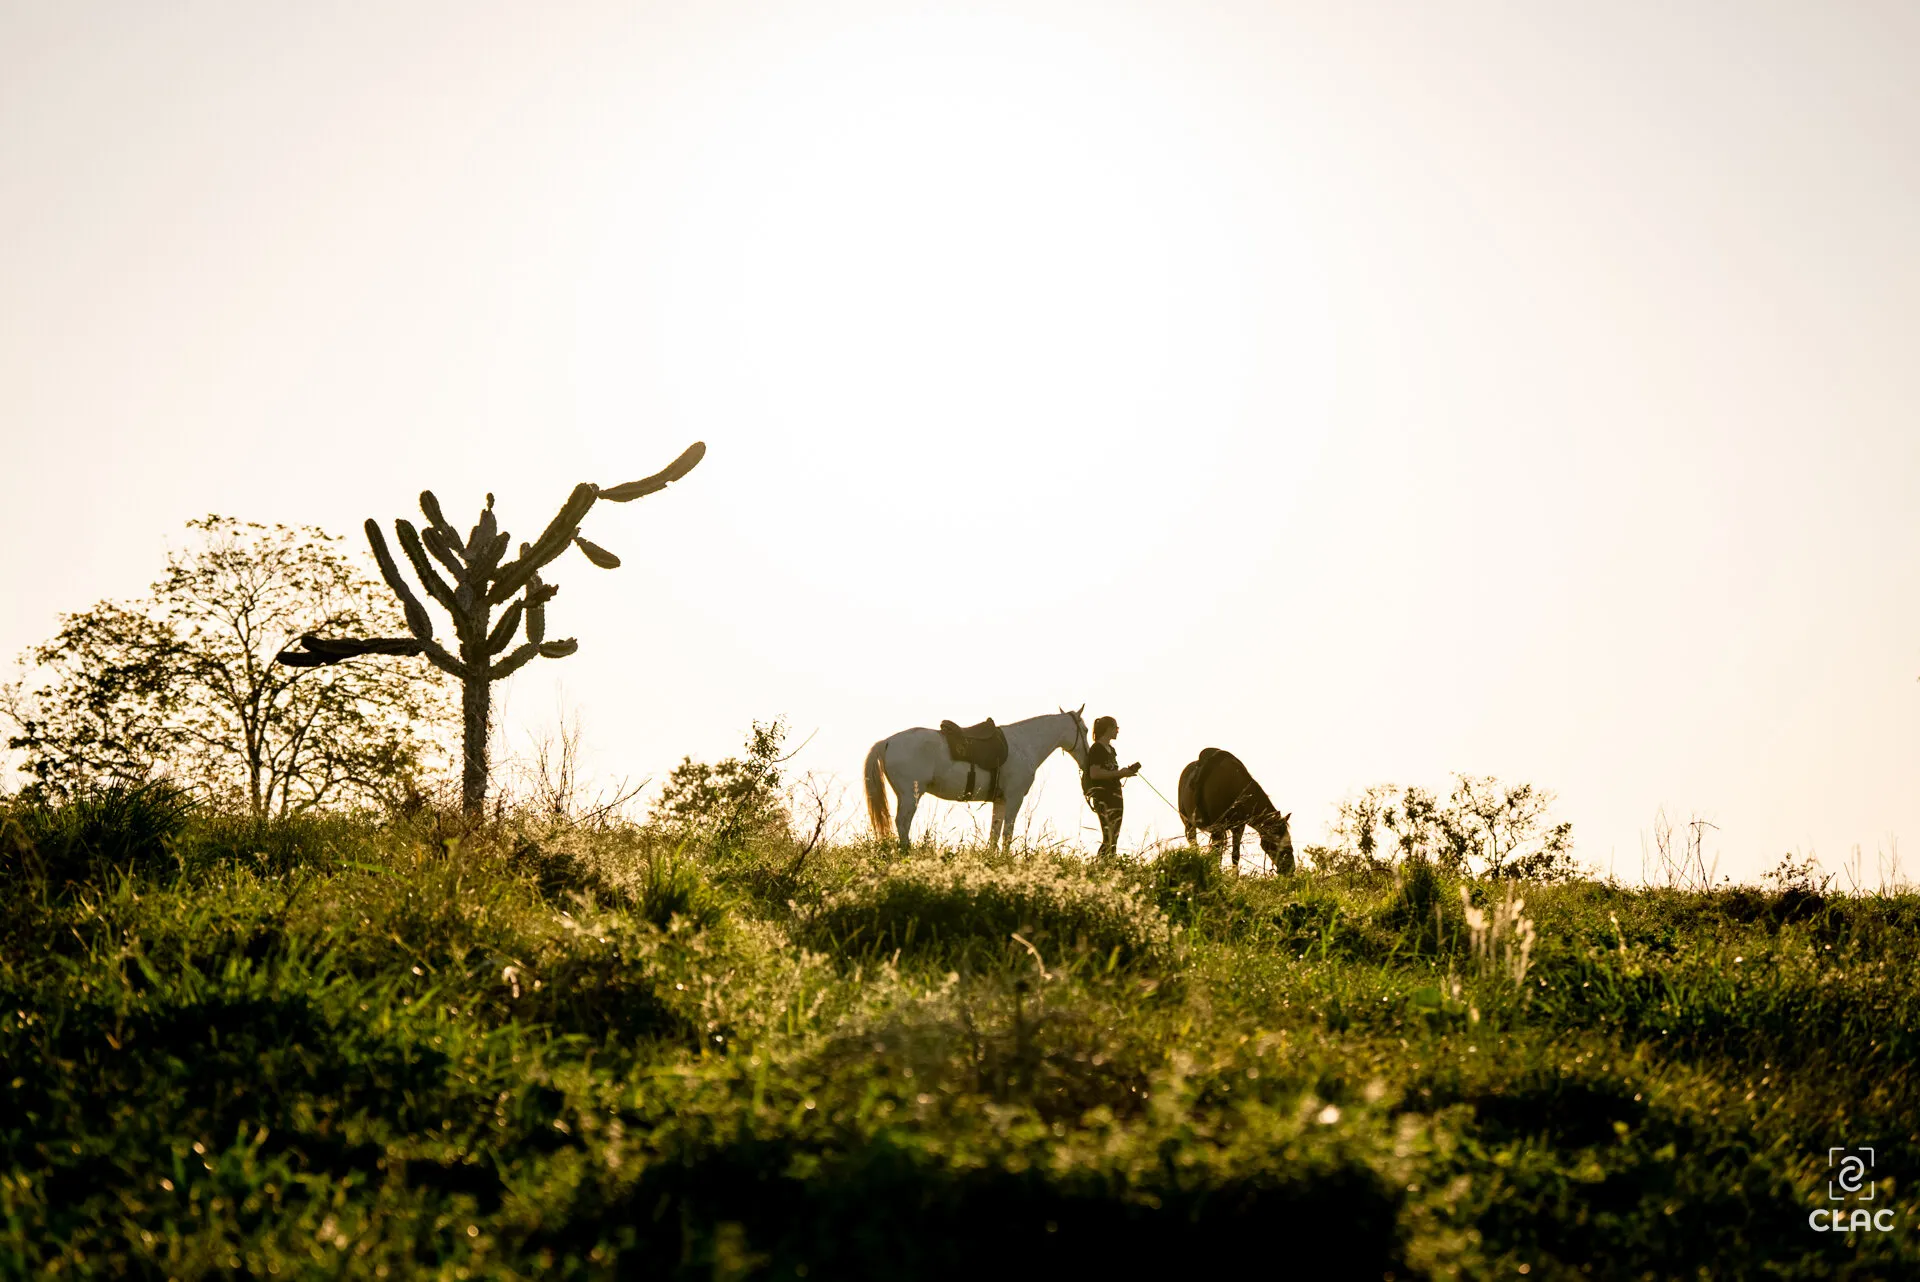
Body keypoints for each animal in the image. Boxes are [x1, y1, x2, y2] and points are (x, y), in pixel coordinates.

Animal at [865, 707, 1090, 851]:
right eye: (1086, 730)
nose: (1087, 761)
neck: (1024, 744)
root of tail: (887, 742)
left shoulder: (1001, 800)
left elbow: (995, 833)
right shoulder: (1014, 798)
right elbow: (1007, 834)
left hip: (904, 796)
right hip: (911, 796)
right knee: (902, 823)